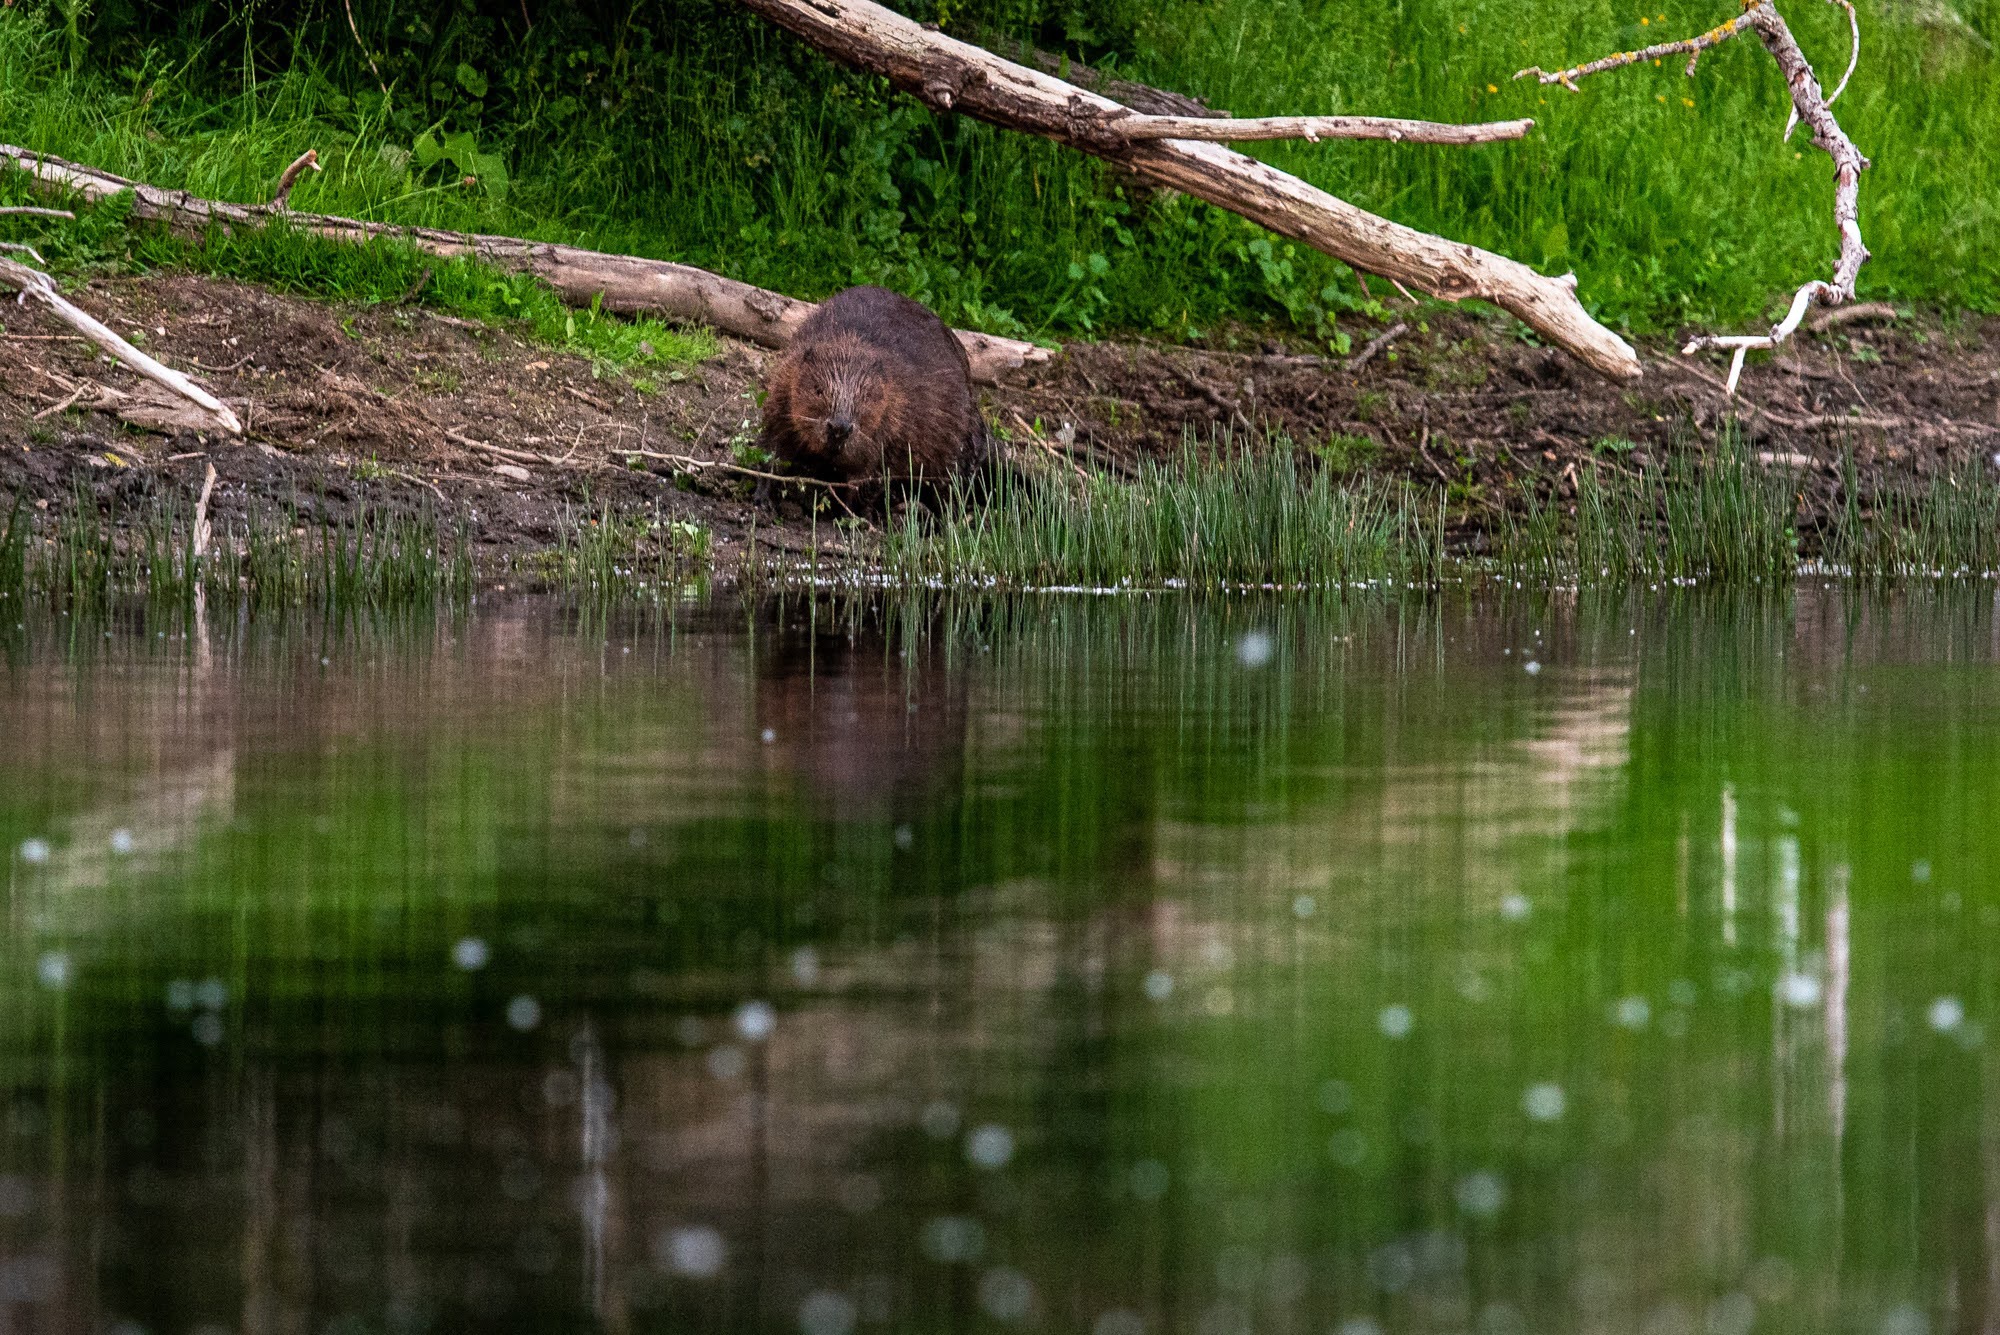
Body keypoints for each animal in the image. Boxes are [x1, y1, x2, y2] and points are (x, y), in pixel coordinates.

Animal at [760, 283, 988, 487]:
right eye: (817, 389)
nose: (839, 428)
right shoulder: (783, 385)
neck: (849, 346)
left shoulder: (895, 424)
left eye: (866, 396)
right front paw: (763, 497)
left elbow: (870, 479)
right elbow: (772, 448)